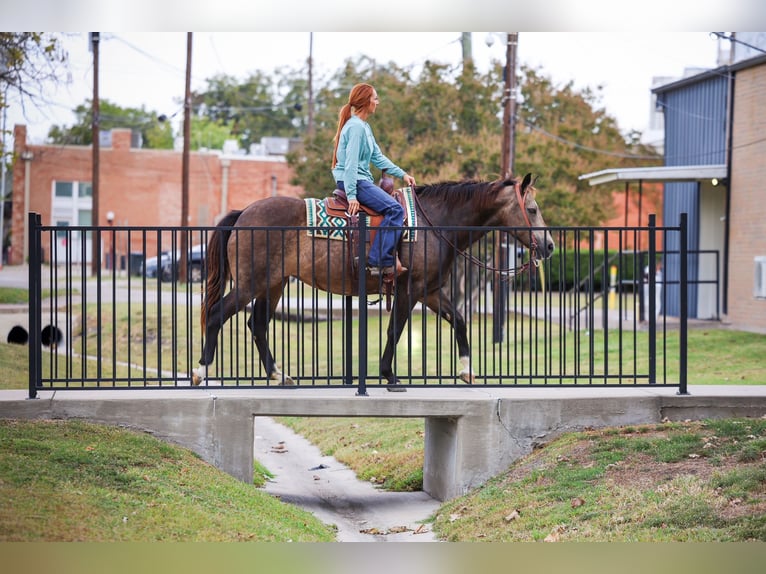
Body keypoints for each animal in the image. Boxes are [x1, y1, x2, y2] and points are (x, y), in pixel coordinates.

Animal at [192, 173, 555, 389]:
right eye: (532, 209)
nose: (549, 246)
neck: (434, 222)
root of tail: (243, 213)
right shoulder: (410, 290)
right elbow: (395, 330)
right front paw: (389, 374)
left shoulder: (431, 291)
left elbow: (460, 319)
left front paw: (466, 369)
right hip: (250, 285)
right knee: (218, 315)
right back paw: (200, 372)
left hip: (274, 284)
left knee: (257, 325)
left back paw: (279, 374)